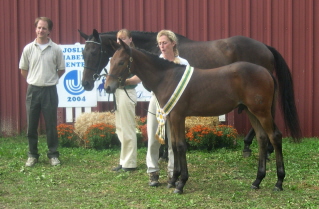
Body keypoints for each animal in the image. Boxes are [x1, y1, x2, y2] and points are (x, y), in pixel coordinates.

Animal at [80, 29, 302, 157]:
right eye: (82, 52)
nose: (86, 83)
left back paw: (256, 147)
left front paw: (164, 153)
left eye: (94, 52)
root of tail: (265, 46)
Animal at [104, 40, 290, 194]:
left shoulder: (178, 116)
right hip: (251, 112)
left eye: (121, 62)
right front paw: (173, 179)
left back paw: (279, 182)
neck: (167, 78)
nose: (107, 87)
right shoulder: (171, 117)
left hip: (262, 112)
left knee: (275, 137)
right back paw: (257, 180)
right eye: (110, 61)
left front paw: (181, 183)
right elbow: (173, 145)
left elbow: (180, 146)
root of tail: (266, 72)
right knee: (262, 138)